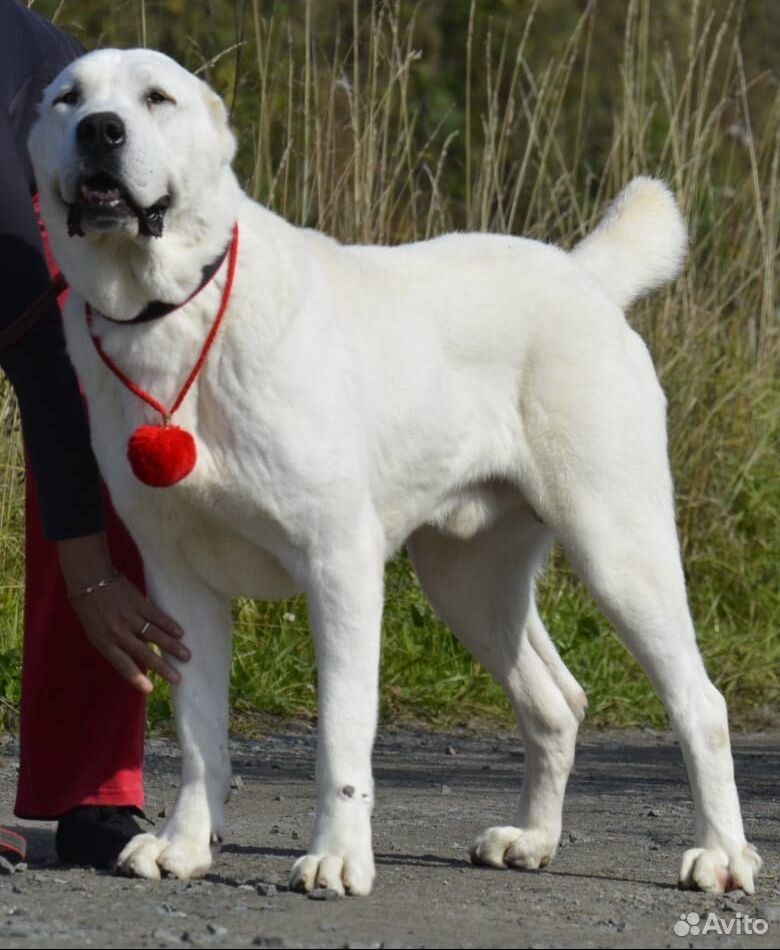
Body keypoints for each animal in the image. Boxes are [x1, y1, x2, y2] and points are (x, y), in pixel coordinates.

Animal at [30, 48, 760, 896]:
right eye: (68, 98)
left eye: (155, 98)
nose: (99, 131)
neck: (178, 318)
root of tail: (584, 277)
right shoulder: (180, 585)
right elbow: (199, 729)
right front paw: (183, 844)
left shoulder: (338, 565)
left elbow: (341, 731)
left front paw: (338, 855)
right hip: (467, 577)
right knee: (556, 702)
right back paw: (532, 839)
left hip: (617, 546)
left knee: (700, 705)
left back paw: (721, 854)